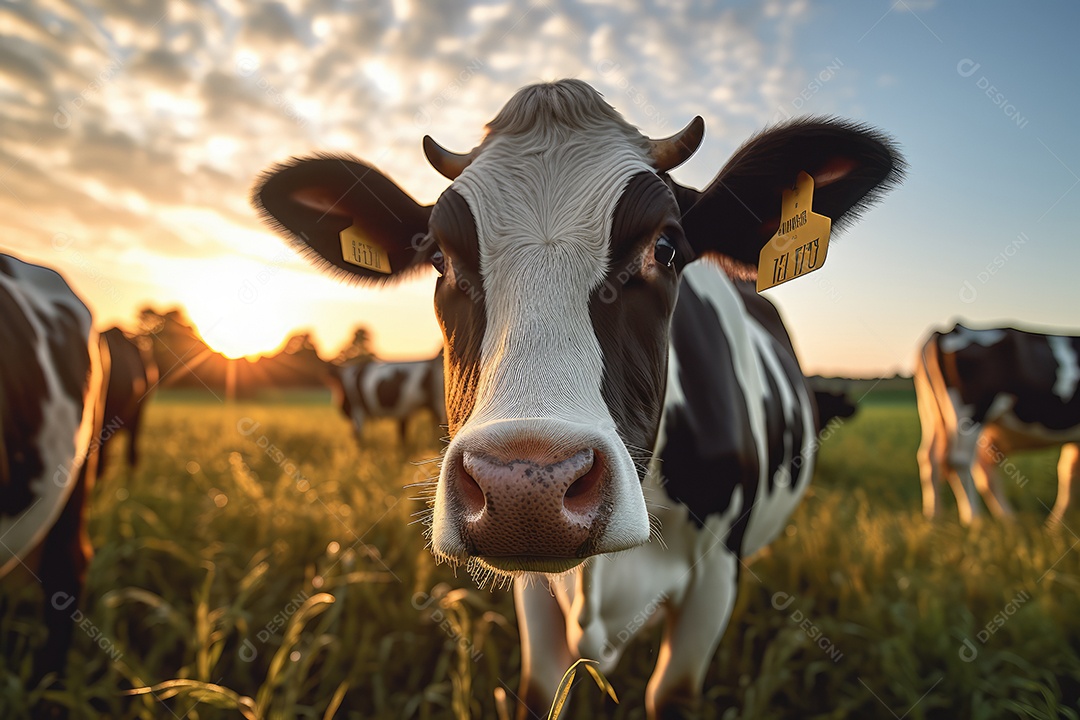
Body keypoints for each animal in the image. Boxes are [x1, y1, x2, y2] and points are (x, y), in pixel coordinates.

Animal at [915, 323, 1080, 526]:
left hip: (930, 411)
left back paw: (934, 518)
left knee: (930, 458)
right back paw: (974, 520)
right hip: (969, 413)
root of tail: (950, 330)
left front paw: (1054, 525)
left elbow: (1068, 472)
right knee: (959, 461)